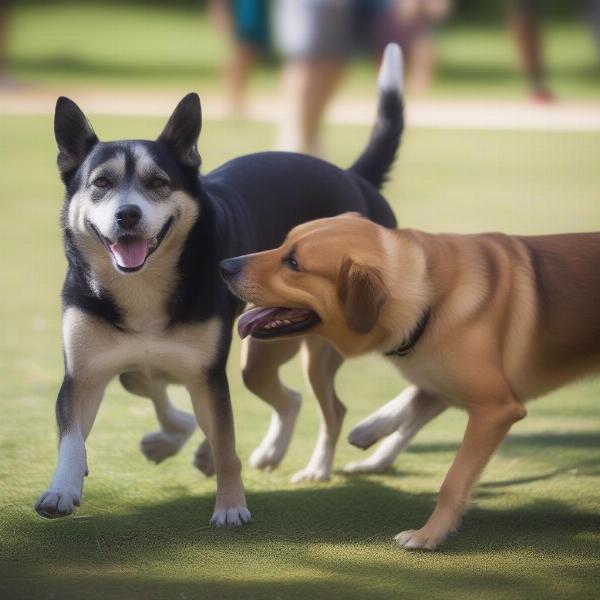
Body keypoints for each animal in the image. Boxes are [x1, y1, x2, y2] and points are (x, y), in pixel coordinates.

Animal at [220, 213, 600, 552]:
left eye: (294, 263)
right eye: (283, 243)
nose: (224, 265)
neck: (429, 292)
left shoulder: (496, 408)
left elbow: (453, 480)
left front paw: (429, 535)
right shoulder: (440, 379)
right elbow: (413, 406)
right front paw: (371, 434)